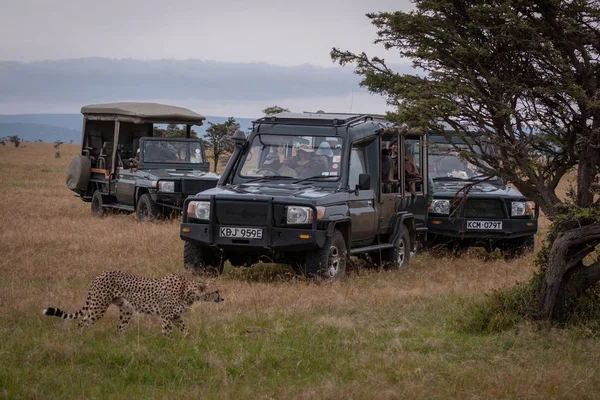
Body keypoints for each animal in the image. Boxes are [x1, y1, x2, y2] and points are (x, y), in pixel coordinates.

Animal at [42, 270, 224, 336]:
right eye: (216, 291)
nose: (223, 299)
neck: (188, 291)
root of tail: (100, 274)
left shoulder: (175, 316)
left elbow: (185, 327)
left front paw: (187, 340)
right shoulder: (166, 316)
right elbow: (167, 332)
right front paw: (169, 345)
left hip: (126, 310)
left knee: (119, 328)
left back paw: (120, 343)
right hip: (98, 308)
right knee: (82, 323)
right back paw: (81, 339)